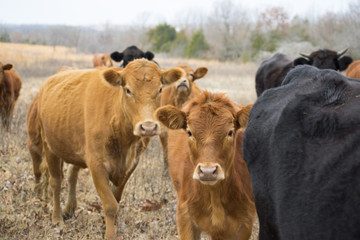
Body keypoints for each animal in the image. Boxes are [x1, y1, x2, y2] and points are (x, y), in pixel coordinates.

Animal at [37, 58, 183, 238]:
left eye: (160, 89)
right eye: (128, 90)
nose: (148, 127)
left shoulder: (131, 163)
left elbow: (116, 197)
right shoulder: (96, 164)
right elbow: (110, 204)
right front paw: (110, 234)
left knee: (72, 175)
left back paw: (69, 208)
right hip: (49, 146)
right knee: (55, 182)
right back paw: (57, 218)